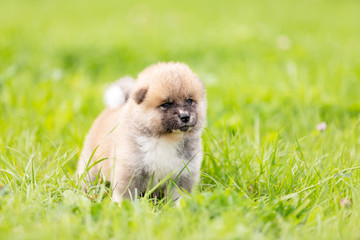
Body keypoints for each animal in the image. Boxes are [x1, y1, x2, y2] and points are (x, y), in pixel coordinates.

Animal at [77, 62, 207, 202]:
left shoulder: (184, 173)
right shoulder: (130, 168)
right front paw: (123, 205)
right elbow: (126, 193)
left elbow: (180, 196)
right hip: (91, 165)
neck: (166, 139)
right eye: (166, 104)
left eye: (189, 100)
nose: (185, 116)